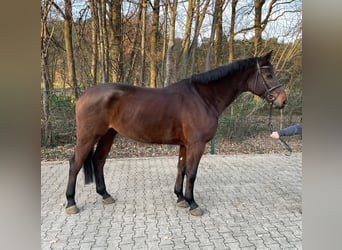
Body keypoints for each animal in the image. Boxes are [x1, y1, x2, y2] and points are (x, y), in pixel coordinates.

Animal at [65, 50, 288, 215]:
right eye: (268, 75)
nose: (283, 100)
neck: (202, 98)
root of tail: (83, 95)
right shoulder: (197, 144)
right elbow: (192, 173)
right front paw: (192, 203)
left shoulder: (185, 144)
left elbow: (181, 168)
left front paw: (180, 198)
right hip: (88, 137)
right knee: (75, 163)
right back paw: (71, 202)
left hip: (108, 135)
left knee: (99, 160)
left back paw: (105, 195)